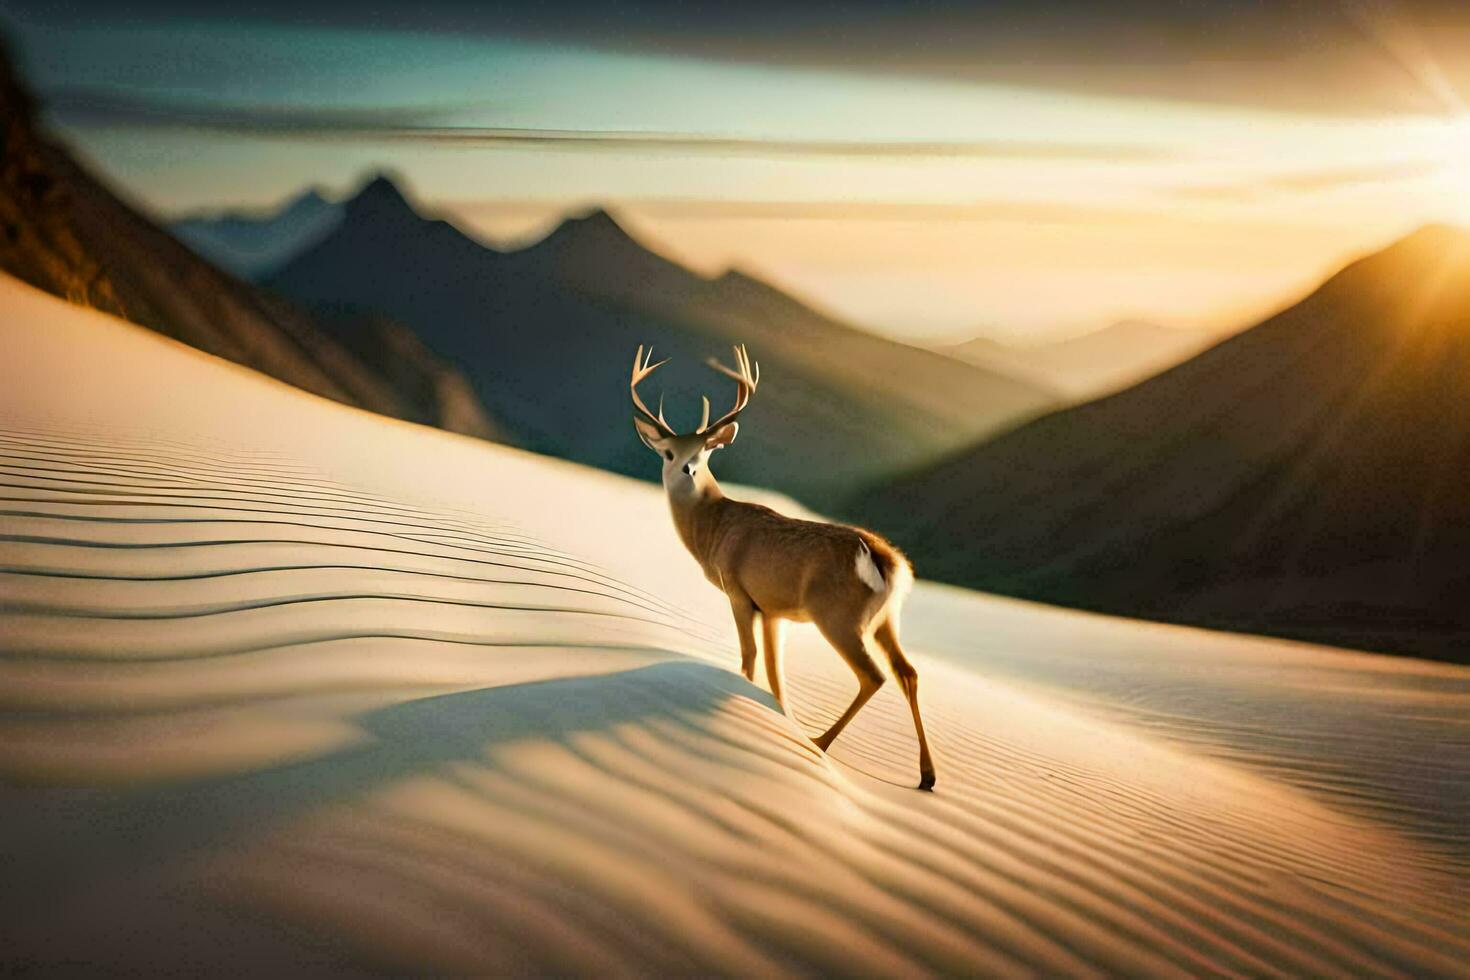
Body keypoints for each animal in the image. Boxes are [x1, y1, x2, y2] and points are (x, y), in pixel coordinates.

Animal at [629, 345, 929, 787]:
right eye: (670, 452)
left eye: (702, 452)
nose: (687, 469)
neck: (713, 527)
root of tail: (884, 560)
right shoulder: (773, 609)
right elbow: (776, 674)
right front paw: (779, 716)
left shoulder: (738, 589)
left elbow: (750, 656)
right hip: (886, 618)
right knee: (908, 671)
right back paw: (927, 775)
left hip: (837, 614)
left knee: (874, 675)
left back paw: (819, 741)